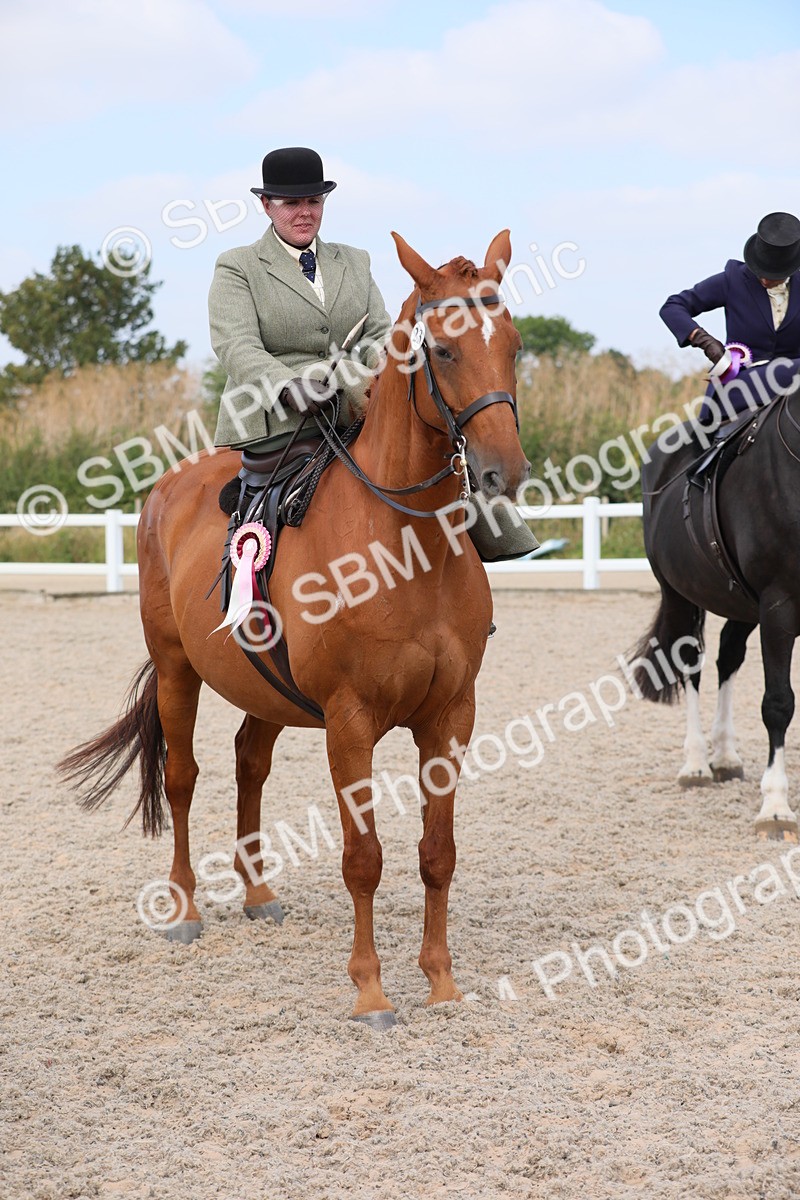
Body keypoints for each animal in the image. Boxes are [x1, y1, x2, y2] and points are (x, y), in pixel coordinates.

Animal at [59, 231, 530, 1027]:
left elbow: (437, 853)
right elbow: (363, 859)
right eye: (443, 350)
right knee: (183, 778)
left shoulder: (450, 716)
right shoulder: (350, 721)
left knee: (250, 762)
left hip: (265, 687)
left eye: (515, 345)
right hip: (178, 670)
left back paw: (257, 893)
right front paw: (371, 992)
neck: (407, 546)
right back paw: (185, 910)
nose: (505, 473)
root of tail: (168, 488)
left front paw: (440, 981)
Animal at [629, 391, 800, 843]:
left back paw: (724, 754)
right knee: (690, 663)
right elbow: (778, 703)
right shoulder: (779, 606)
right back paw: (696, 764)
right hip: (681, 594)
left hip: (741, 604)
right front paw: (775, 808)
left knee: (729, 656)